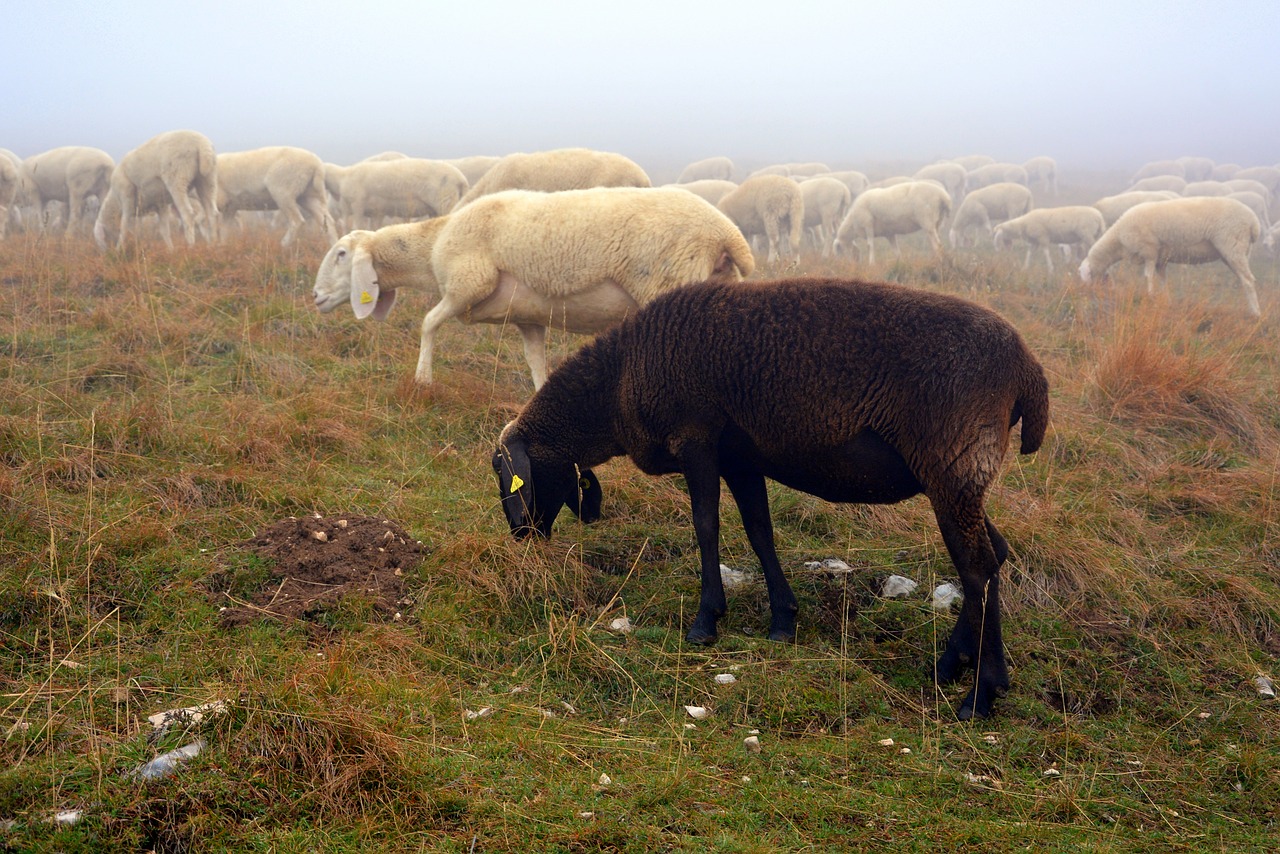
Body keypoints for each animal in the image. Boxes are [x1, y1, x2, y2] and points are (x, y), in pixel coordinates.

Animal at [308, 188, 747, 391]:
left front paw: (423, 380)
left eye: (341, 254)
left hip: (670, 281)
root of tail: (726, 232)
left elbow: (428, 322)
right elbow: (536, 361)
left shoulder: (469, 283)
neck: (434, 243)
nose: (314, 297)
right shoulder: (528, 317)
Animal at [488, 277, 1049, 717]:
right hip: (956, 477)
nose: (521, 535)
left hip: (954, 466)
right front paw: (782, 620)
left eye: (502, 470)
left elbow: (707, 527)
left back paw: (981, 694)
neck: (620, 377)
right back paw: (952, 664)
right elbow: (760, 532)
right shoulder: (741, 457)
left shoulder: (698, 441)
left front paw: (705, 622)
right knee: (994, 558)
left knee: (977, 567)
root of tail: (1029, 373)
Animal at [1080, 195, 1259, 317]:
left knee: (1249, 280)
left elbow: (1149, 276)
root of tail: (1253, 221)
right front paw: (1166, 300)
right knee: (1244, 279)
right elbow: (1163, 280)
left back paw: (1256, 313)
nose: (1089, 292)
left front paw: (1150, 296)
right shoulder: (1161, 259)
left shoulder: (1149, 251)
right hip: (1238, 252)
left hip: (1232, 245)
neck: (1118, 238)